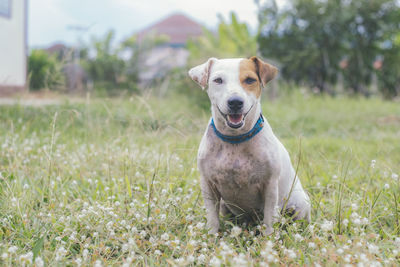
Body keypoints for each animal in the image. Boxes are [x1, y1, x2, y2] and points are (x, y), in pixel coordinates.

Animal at [189, 56, 310, 234]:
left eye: (250, 80)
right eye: (218, 80)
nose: (235, 102)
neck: (235, 140)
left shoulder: (270, 186)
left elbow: (269, 218)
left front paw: (268, 238)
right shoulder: (208, 184)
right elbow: (212, 217)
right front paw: (212, 235)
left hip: (299, 203)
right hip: (225, 206)